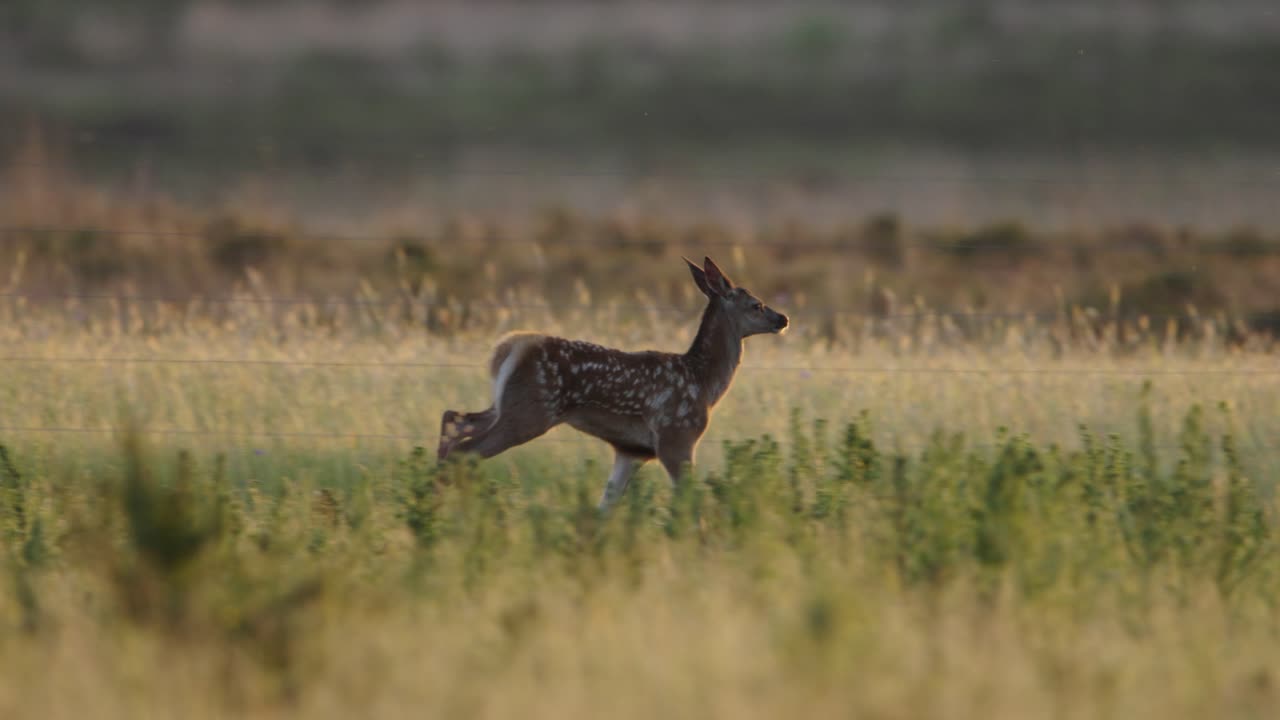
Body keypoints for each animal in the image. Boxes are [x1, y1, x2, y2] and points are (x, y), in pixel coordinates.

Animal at [437, 256, 789, 510]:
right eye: (756, 304)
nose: (782, 318)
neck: (703, 382)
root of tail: (509, 347)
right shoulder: (676, 437)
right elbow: (690, 503)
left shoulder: (631, 450)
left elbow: (605, 506)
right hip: (530, 411)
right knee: (464, 451)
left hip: (506, 404)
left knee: (454, 419)